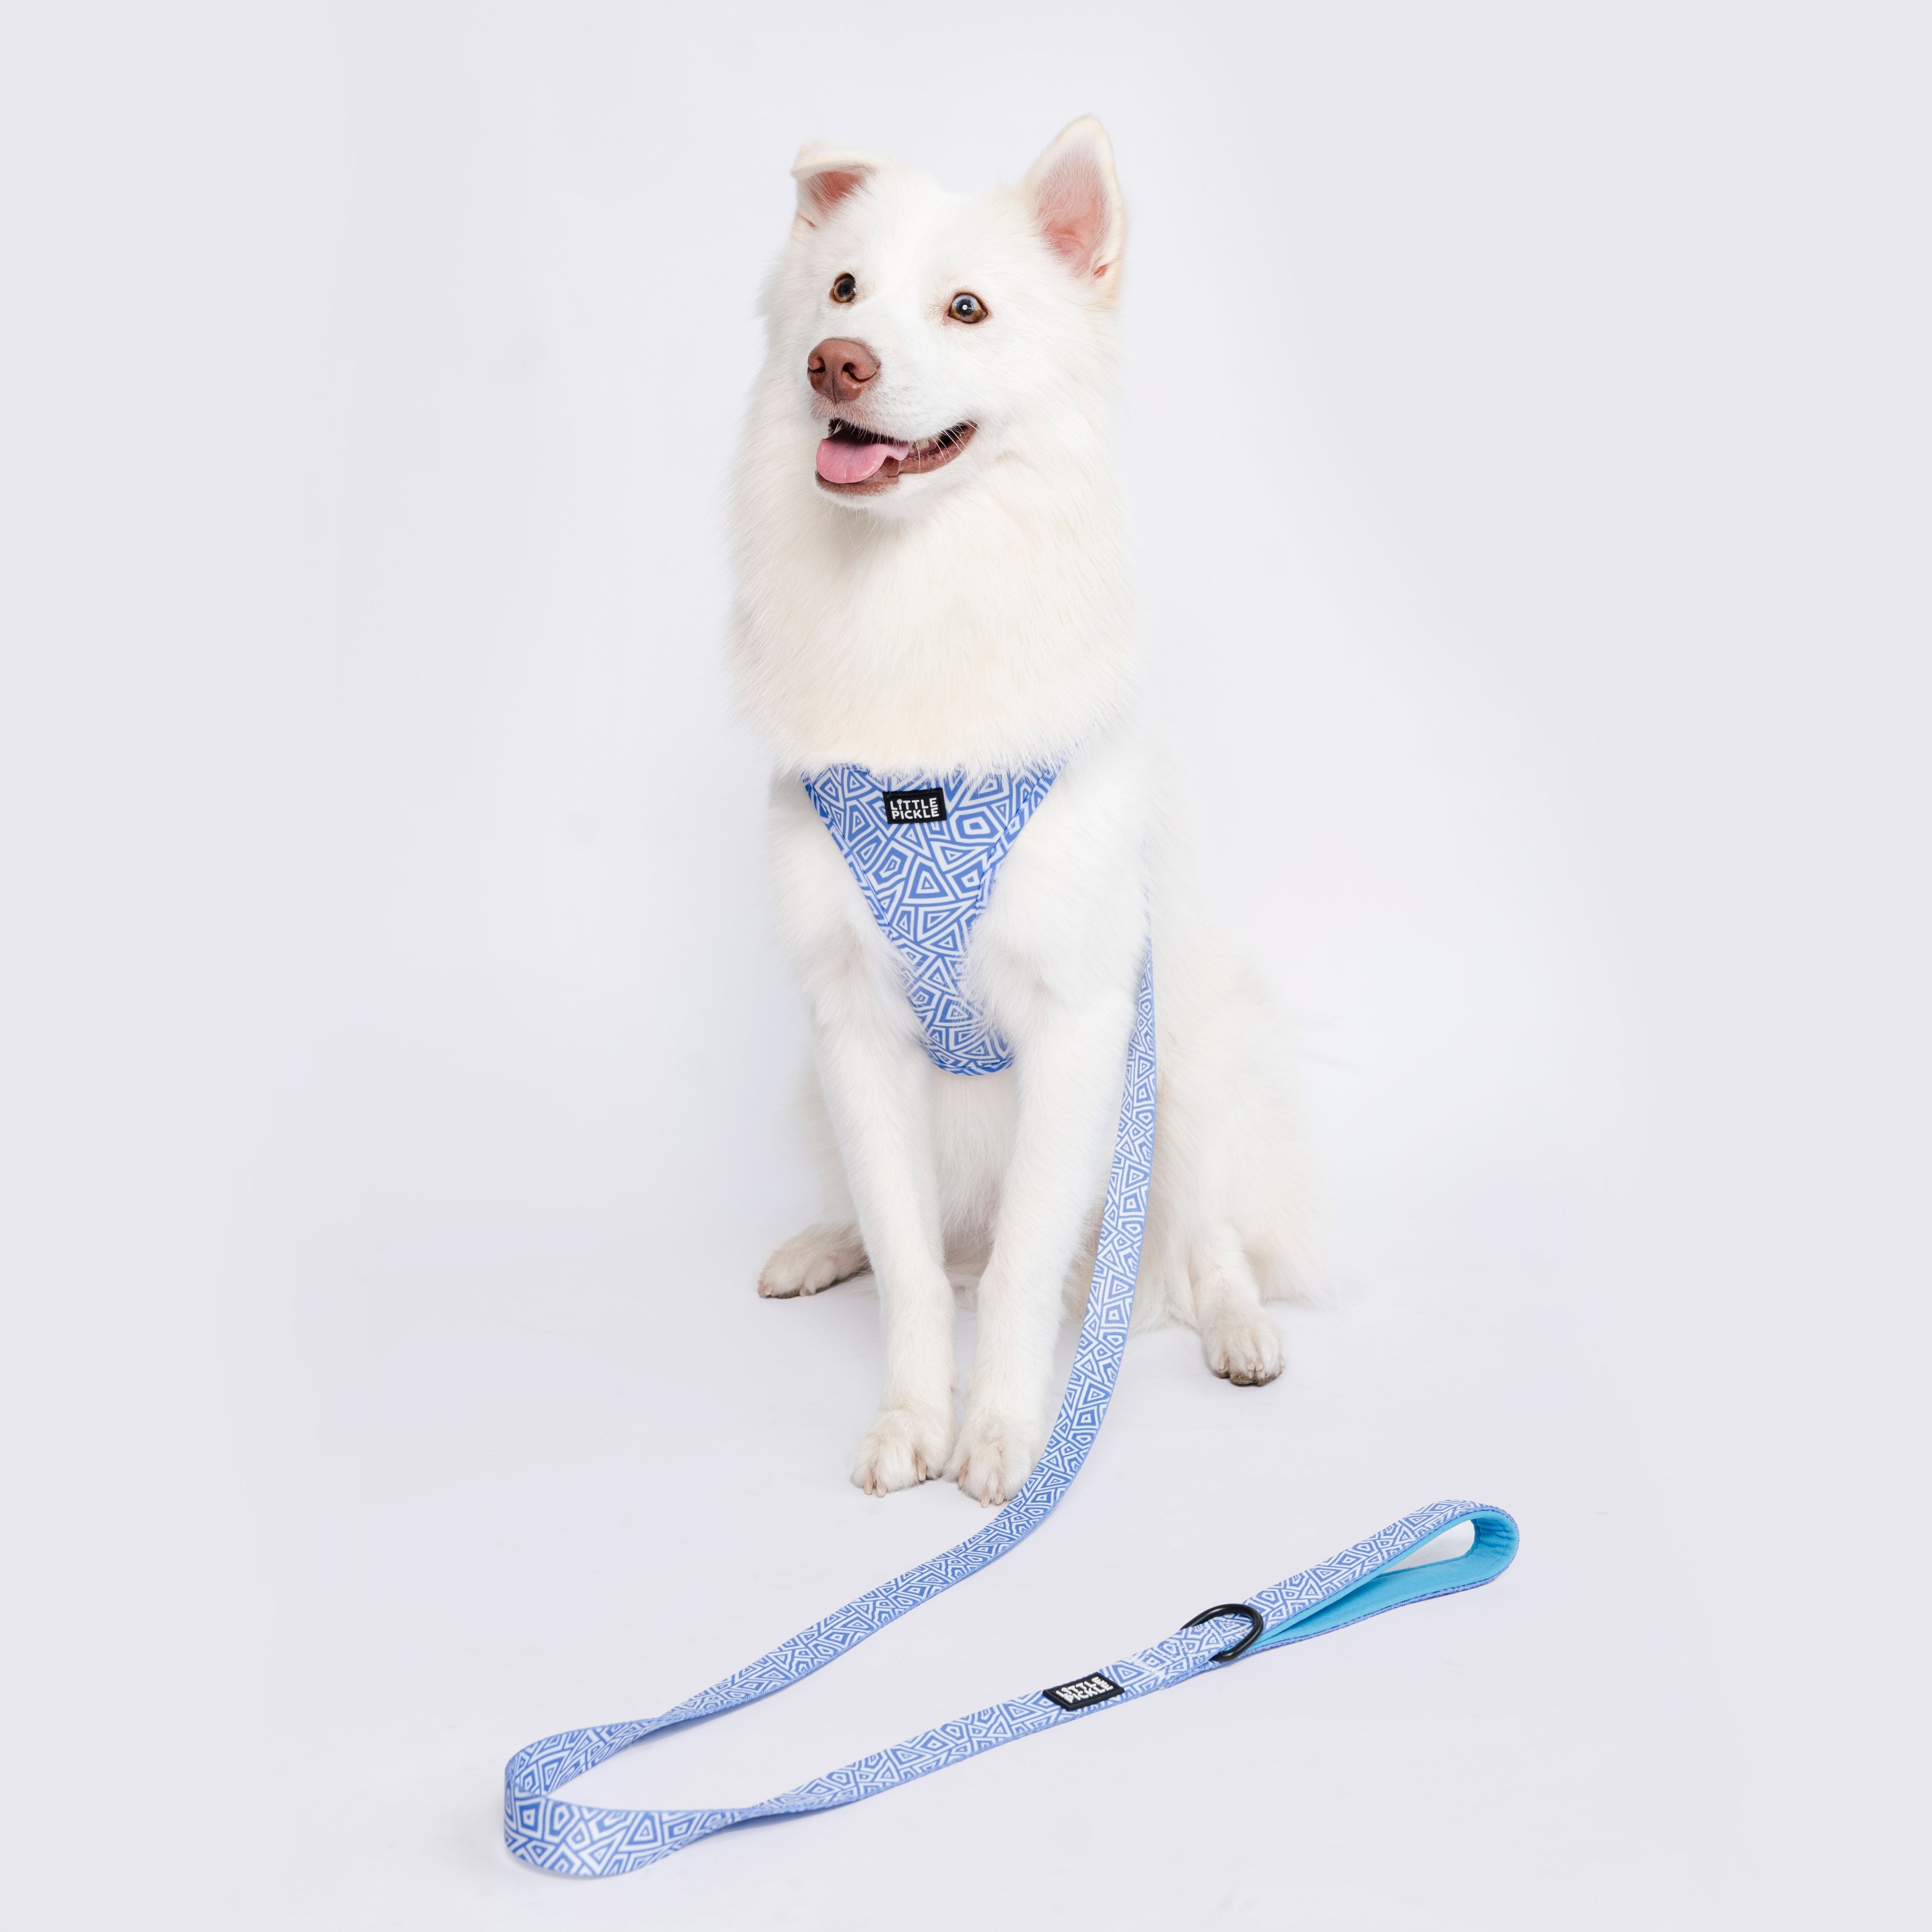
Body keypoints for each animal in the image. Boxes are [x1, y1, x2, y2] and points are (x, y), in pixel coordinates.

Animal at [730, 117, 1321, 1507]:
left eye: (967, 308)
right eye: (841, 292)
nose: (838, 363)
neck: (913, 593)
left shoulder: (1082, 1021)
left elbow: (1012, 1279)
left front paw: (1000, 1433)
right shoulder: (853, 1025)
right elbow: (909, 1266)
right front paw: (912, 1417)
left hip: (1191, 1063)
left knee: (1204, 1241)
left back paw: (1235, 1331)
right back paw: (819, 1246)